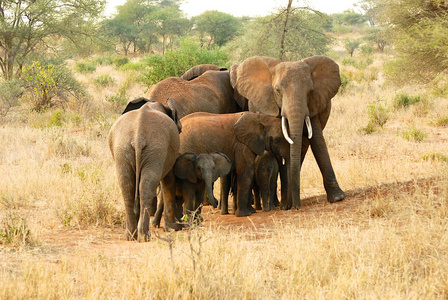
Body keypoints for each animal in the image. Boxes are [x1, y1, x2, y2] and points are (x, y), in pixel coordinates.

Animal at [107, 97, 183, 243]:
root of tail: (138, 136)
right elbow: (169, 180)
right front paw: (173, 227)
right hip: (154, 149)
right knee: (146, 186)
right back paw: (144, 237)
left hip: (123, 149)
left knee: (128, 186)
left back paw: (131, 236)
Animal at [231, 55, 346, 209]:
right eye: (277, 90)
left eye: (310, 91)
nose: (296, 206)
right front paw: (285, 204)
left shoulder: (313, 105)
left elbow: (317, 141)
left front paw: (338, 198)